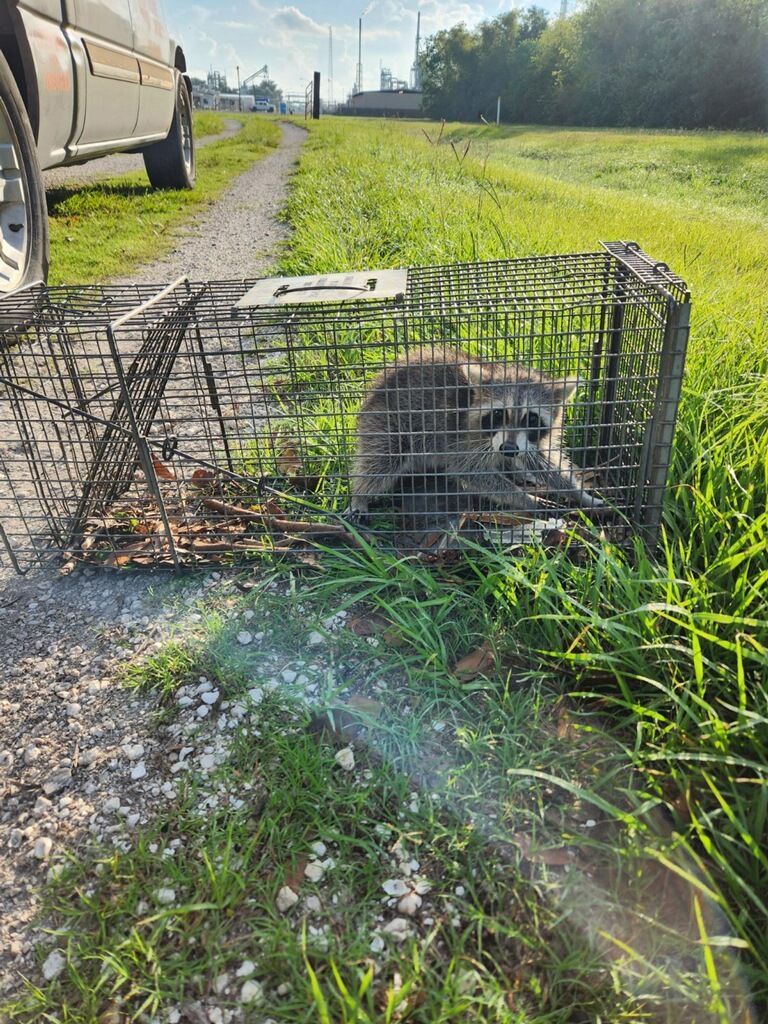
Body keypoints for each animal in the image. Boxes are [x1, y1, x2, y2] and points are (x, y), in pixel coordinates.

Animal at [347, 345, 603, 520]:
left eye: (531, 417)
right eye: (499, 414)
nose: (508, 449)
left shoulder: (529, 440)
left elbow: (544, 461)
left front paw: (579, 493)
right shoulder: (462, 440)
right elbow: (473, 473)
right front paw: (525, 499)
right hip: (386, 421)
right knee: (383, 460)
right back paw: (360, 495)